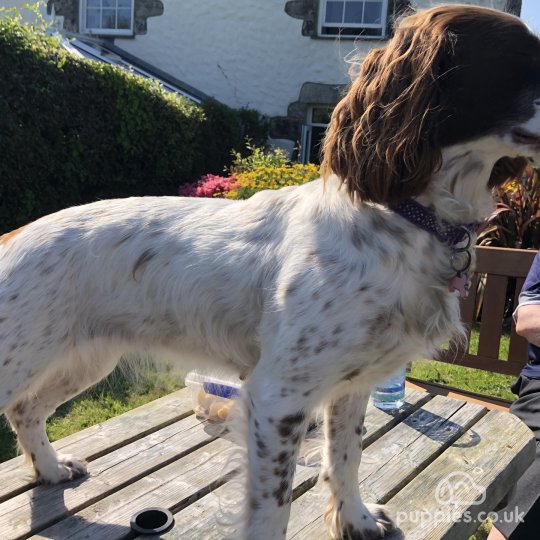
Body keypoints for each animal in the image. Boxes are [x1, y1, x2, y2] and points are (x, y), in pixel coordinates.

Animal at [1, 5, 540, 540]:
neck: (403, 218)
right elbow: (273, 508)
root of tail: (14, 234)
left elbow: (346, 457)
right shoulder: (278, 397)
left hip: (87, 358)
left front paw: (356, 519)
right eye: (523, 55)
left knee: (26, 409)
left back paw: (51, 469)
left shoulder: (354, 382)